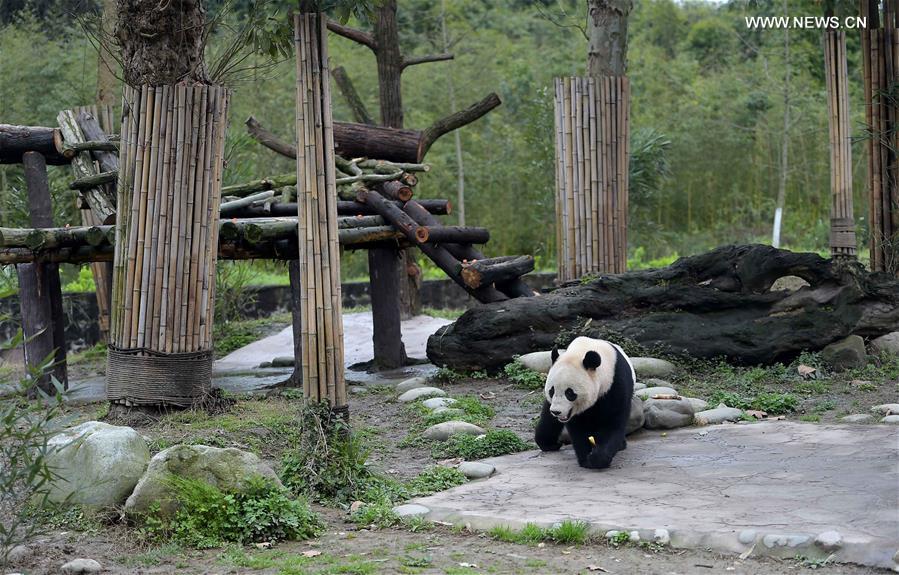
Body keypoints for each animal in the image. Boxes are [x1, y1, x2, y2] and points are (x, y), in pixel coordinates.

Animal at [536, 336, 636, 470]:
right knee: (548, 419)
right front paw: (586, 460)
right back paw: (549, 444)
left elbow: (612, 423)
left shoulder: (615, 384)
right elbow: (578, 429)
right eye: (552, 390)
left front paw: (598, 458)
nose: (557, 411)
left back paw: (621, 445)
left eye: (569, 393)